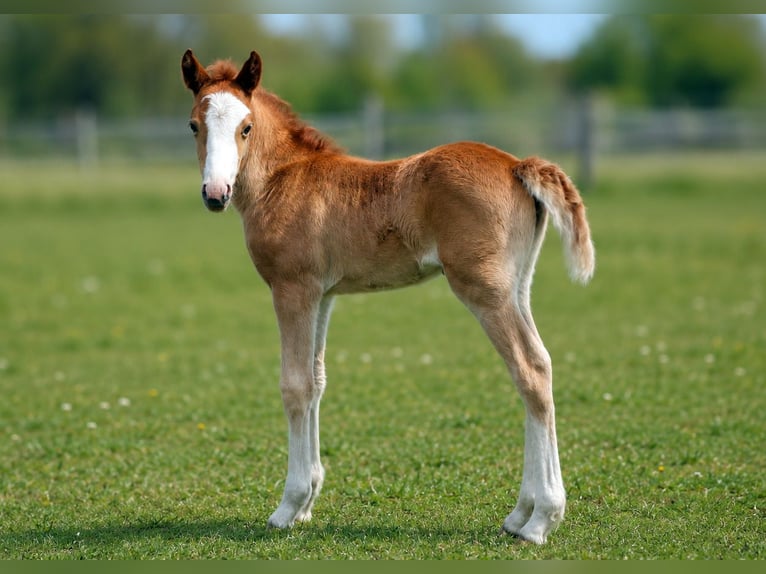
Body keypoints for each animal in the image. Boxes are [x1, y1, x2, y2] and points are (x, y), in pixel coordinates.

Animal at [181, 49, 595, 545]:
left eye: (245, 127)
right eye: (194, 125)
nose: (215, 193)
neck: (284, 179)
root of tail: (518, 165)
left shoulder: (293, 288)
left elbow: (294, 386)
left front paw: (288, 507)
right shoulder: (323, 294)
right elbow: (317, 382)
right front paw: (308, 503)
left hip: (484, 289)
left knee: (529, 370)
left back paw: (540, 520)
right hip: (518, 287)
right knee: (541, 364)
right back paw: (520, 514)